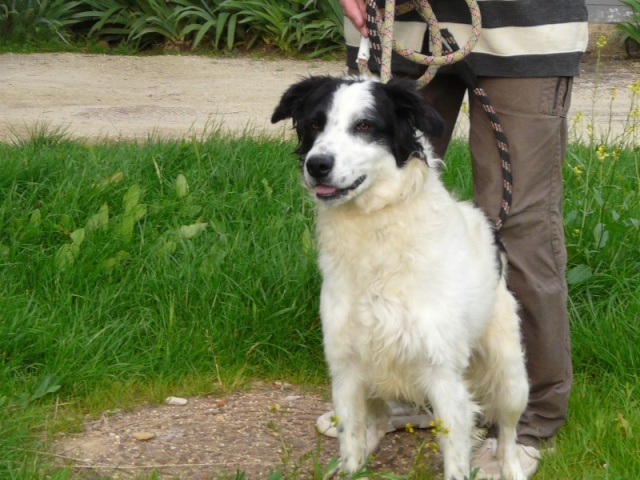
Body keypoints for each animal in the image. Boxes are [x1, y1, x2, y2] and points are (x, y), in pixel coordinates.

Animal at [272, 77, 528, 478]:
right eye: (314, 123)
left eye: (364, 125)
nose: (317, 165)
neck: (375, 233)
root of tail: (491, 227)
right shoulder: (346, 369)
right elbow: (351, 441)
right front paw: (350, 467)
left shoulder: (443, 375)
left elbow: (456, 458)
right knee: (375, 424)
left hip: (511, 375)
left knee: (508, 435)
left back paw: (513, 466)